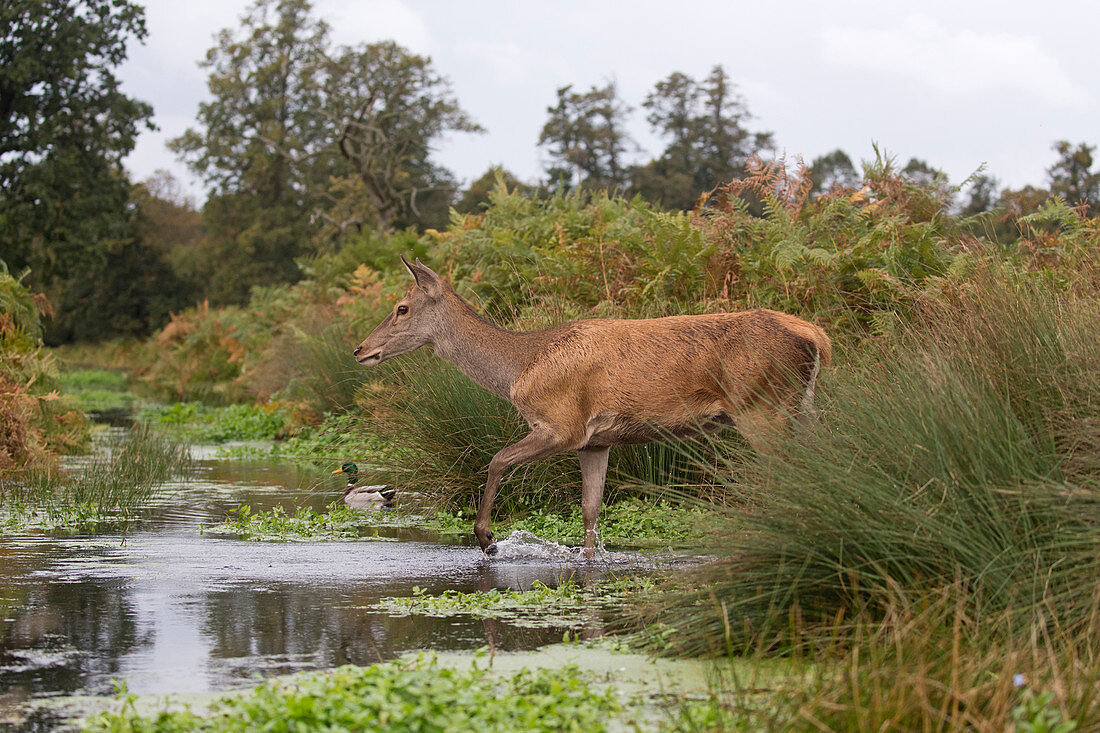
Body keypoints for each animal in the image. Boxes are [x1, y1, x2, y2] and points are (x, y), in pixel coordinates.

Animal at [356, 256, 827, 554]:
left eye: (402, 308)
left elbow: (496, 459)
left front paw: (487, 539)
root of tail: (818, 337)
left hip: (763, 407)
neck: (519, 368)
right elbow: (590, 511)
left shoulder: (562, 424)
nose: (360, 350)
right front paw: (590, 556)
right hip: (800, 411)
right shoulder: (595, 442)